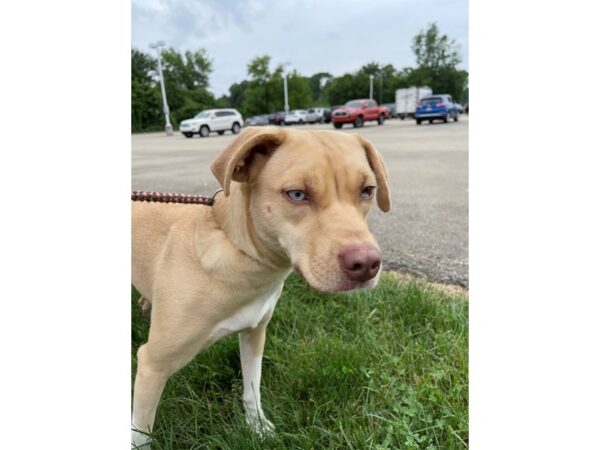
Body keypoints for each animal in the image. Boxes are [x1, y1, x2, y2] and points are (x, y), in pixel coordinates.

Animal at [131, 125, 392, 446]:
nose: (366, 264)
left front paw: (257, 427)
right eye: (297, 194)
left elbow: (251, 388)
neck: (238, 249)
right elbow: (141, 433)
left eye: (368, 191)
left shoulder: (255, 332)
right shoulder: (152, 365)